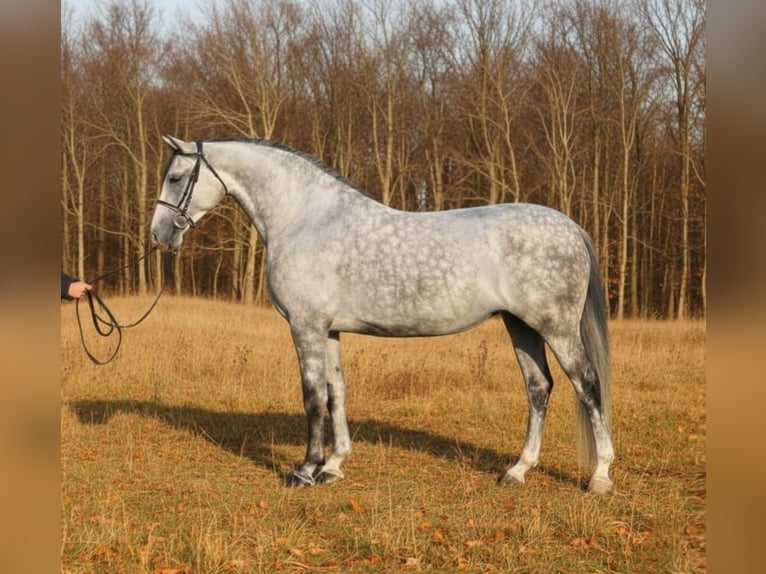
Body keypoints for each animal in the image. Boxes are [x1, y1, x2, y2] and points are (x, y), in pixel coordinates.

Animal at [149, 136, 615, 494]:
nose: (158, 235)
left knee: (588, 386)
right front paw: (333, 466)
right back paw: (517, 472)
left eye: (175, 178)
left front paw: (305, 470)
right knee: (539, 389)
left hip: (556, 327)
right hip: (521, 326)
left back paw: (600, 476)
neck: (305, 219)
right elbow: (337, 392)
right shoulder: (329, 330)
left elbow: (312, 396)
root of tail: (571, 227)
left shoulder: (306, 326)